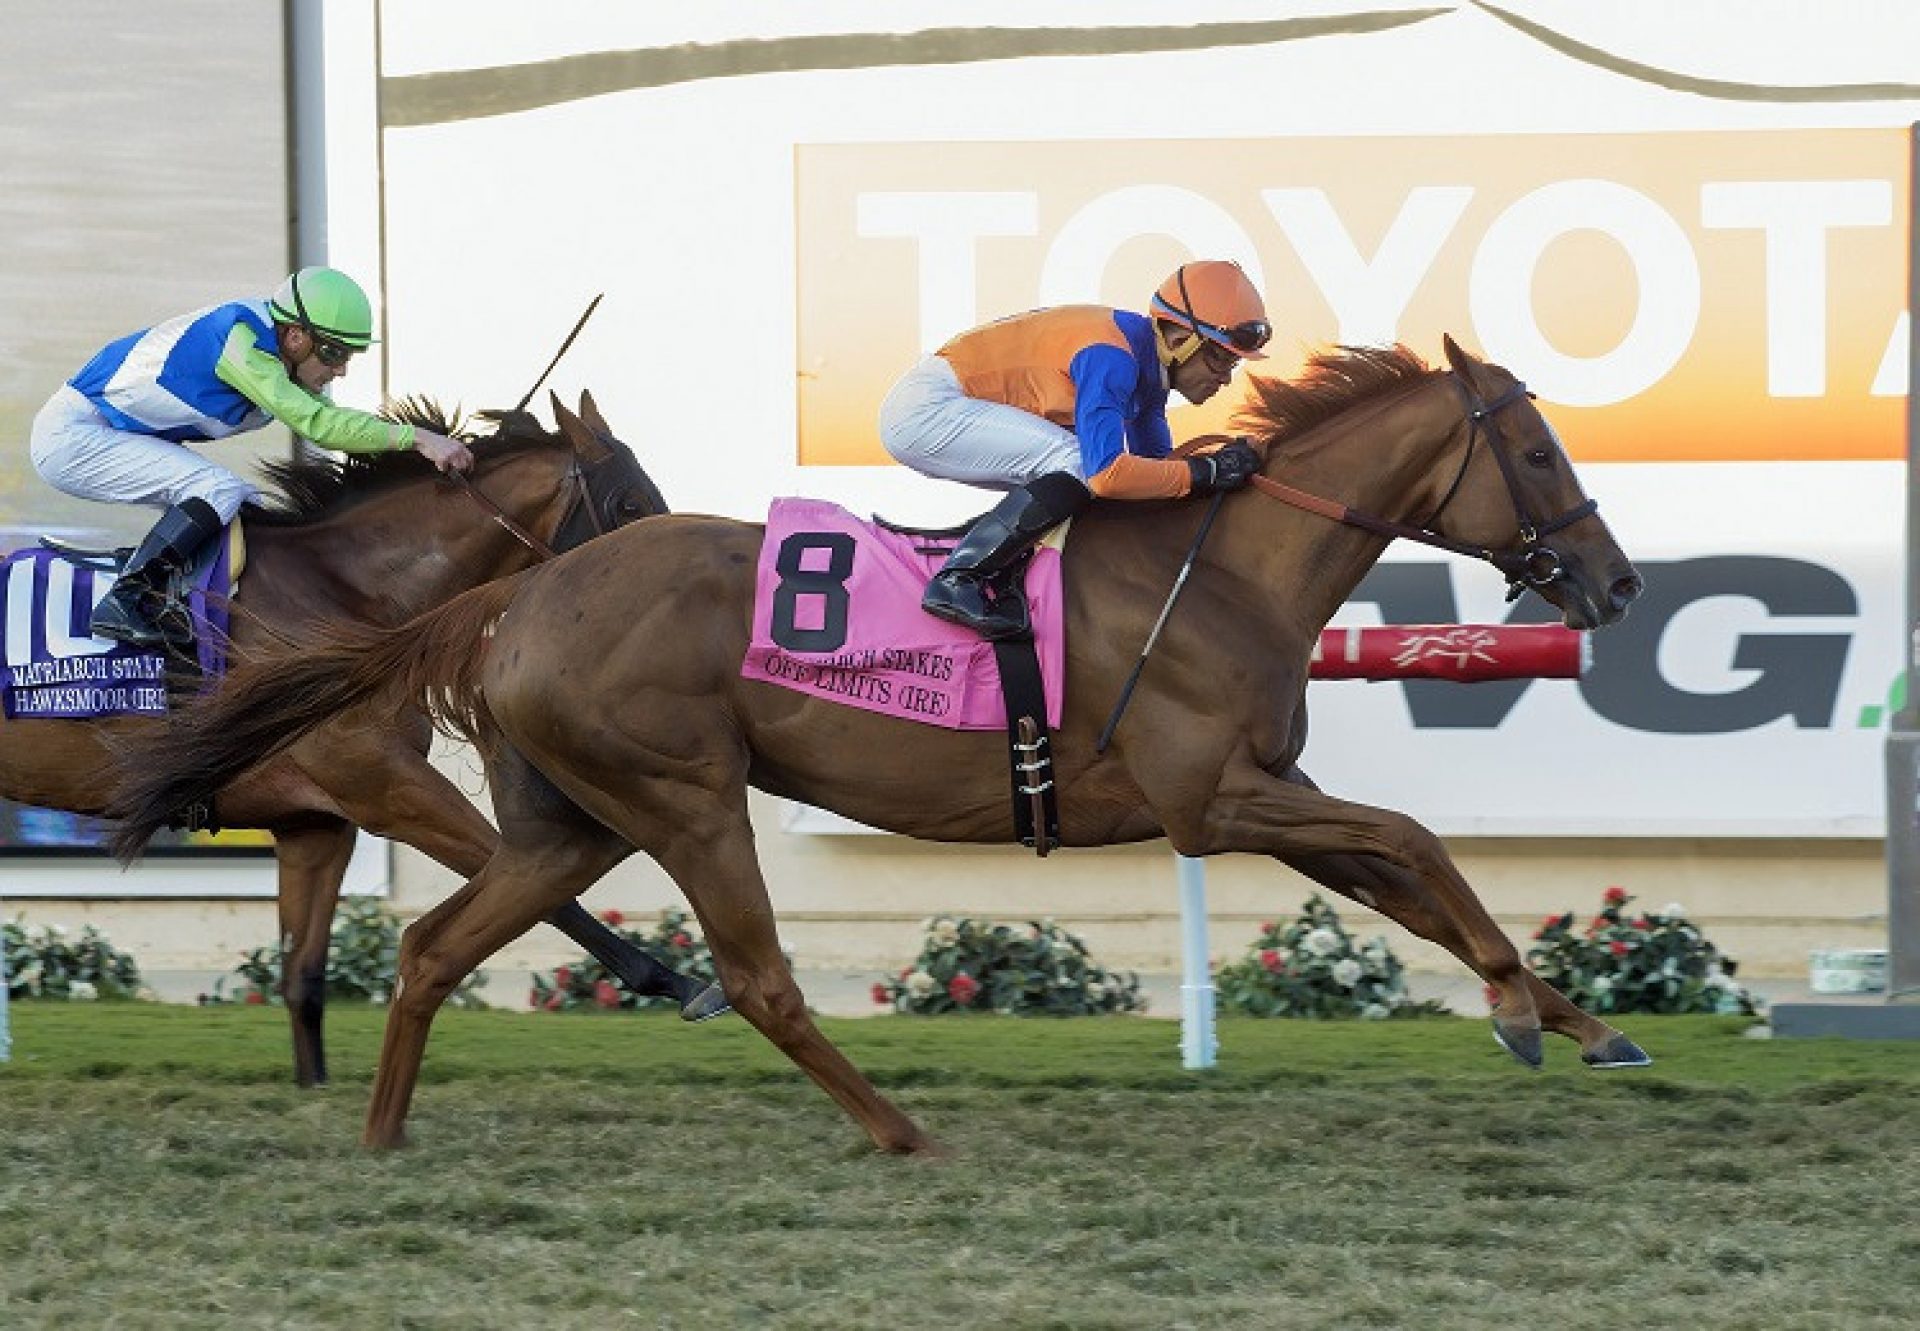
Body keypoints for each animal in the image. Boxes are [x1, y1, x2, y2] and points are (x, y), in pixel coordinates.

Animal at [13, 389, 721, 1083]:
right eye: (629, 504)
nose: (674, 594)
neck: (345, 595)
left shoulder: (316, 824)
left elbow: (303, 979)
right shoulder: (380, 782)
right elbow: (536, 880)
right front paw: (686, 984)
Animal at [112, 339, 1651, 1152]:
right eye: (1537, 453)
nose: (1617, 582)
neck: (1227, 563)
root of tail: (516, 593)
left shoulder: (1270, 789)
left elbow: (1418, 882)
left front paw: (1581, 1021)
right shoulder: (1214, 798)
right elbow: (1417, 839)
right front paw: (1529, 1010)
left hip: (572, 821)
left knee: (436, 947)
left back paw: (381, 1135)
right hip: (685, 794)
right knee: (757, 977)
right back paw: (900, 1129)